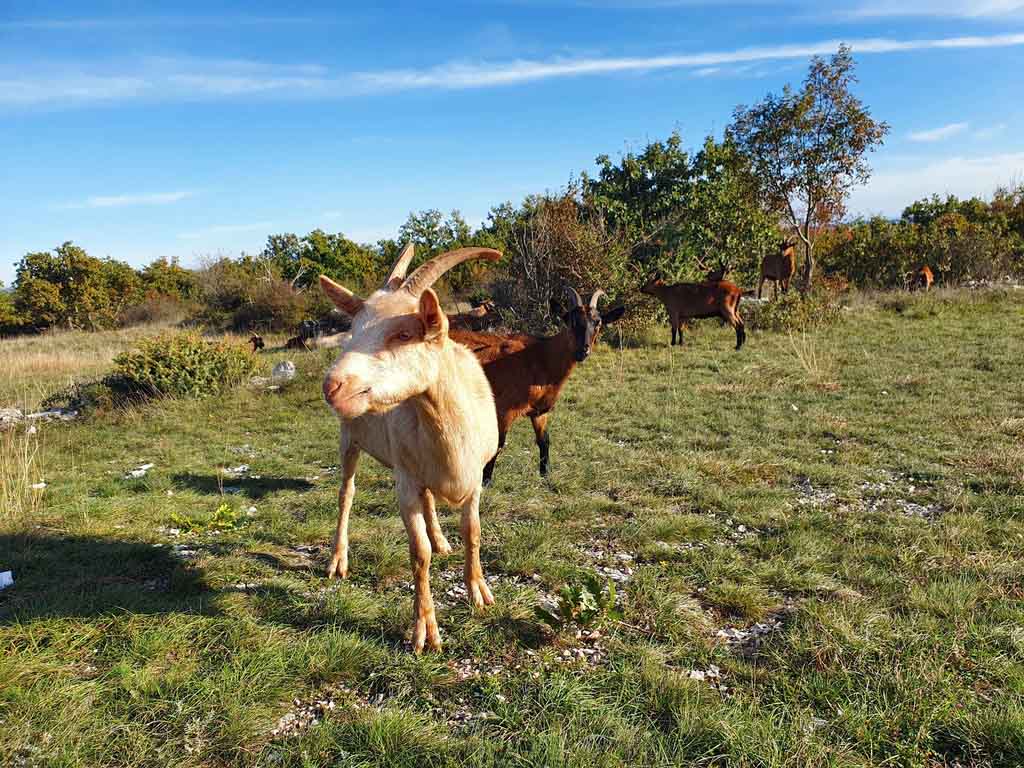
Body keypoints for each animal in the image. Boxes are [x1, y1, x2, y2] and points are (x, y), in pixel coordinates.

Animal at [320, 242, 501, 653]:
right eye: (351, 333)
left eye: (403, 333)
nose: (332, 386)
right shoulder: (404, 482)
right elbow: (419, 554)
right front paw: (426, 632)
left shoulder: (476, 480)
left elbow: (473, 532)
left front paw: (479, 592)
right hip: (348, 439)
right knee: (346, 494)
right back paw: (338, 559)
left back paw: (442, 539)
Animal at [450, 287, 624, 484]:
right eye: (570, 321)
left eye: (598, 322)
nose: (583, 350)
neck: (539, 357)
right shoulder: (503, 410)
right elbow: (499, 444)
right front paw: (486, 481)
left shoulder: (540, 411)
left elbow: (544, 441)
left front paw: (545, 474)